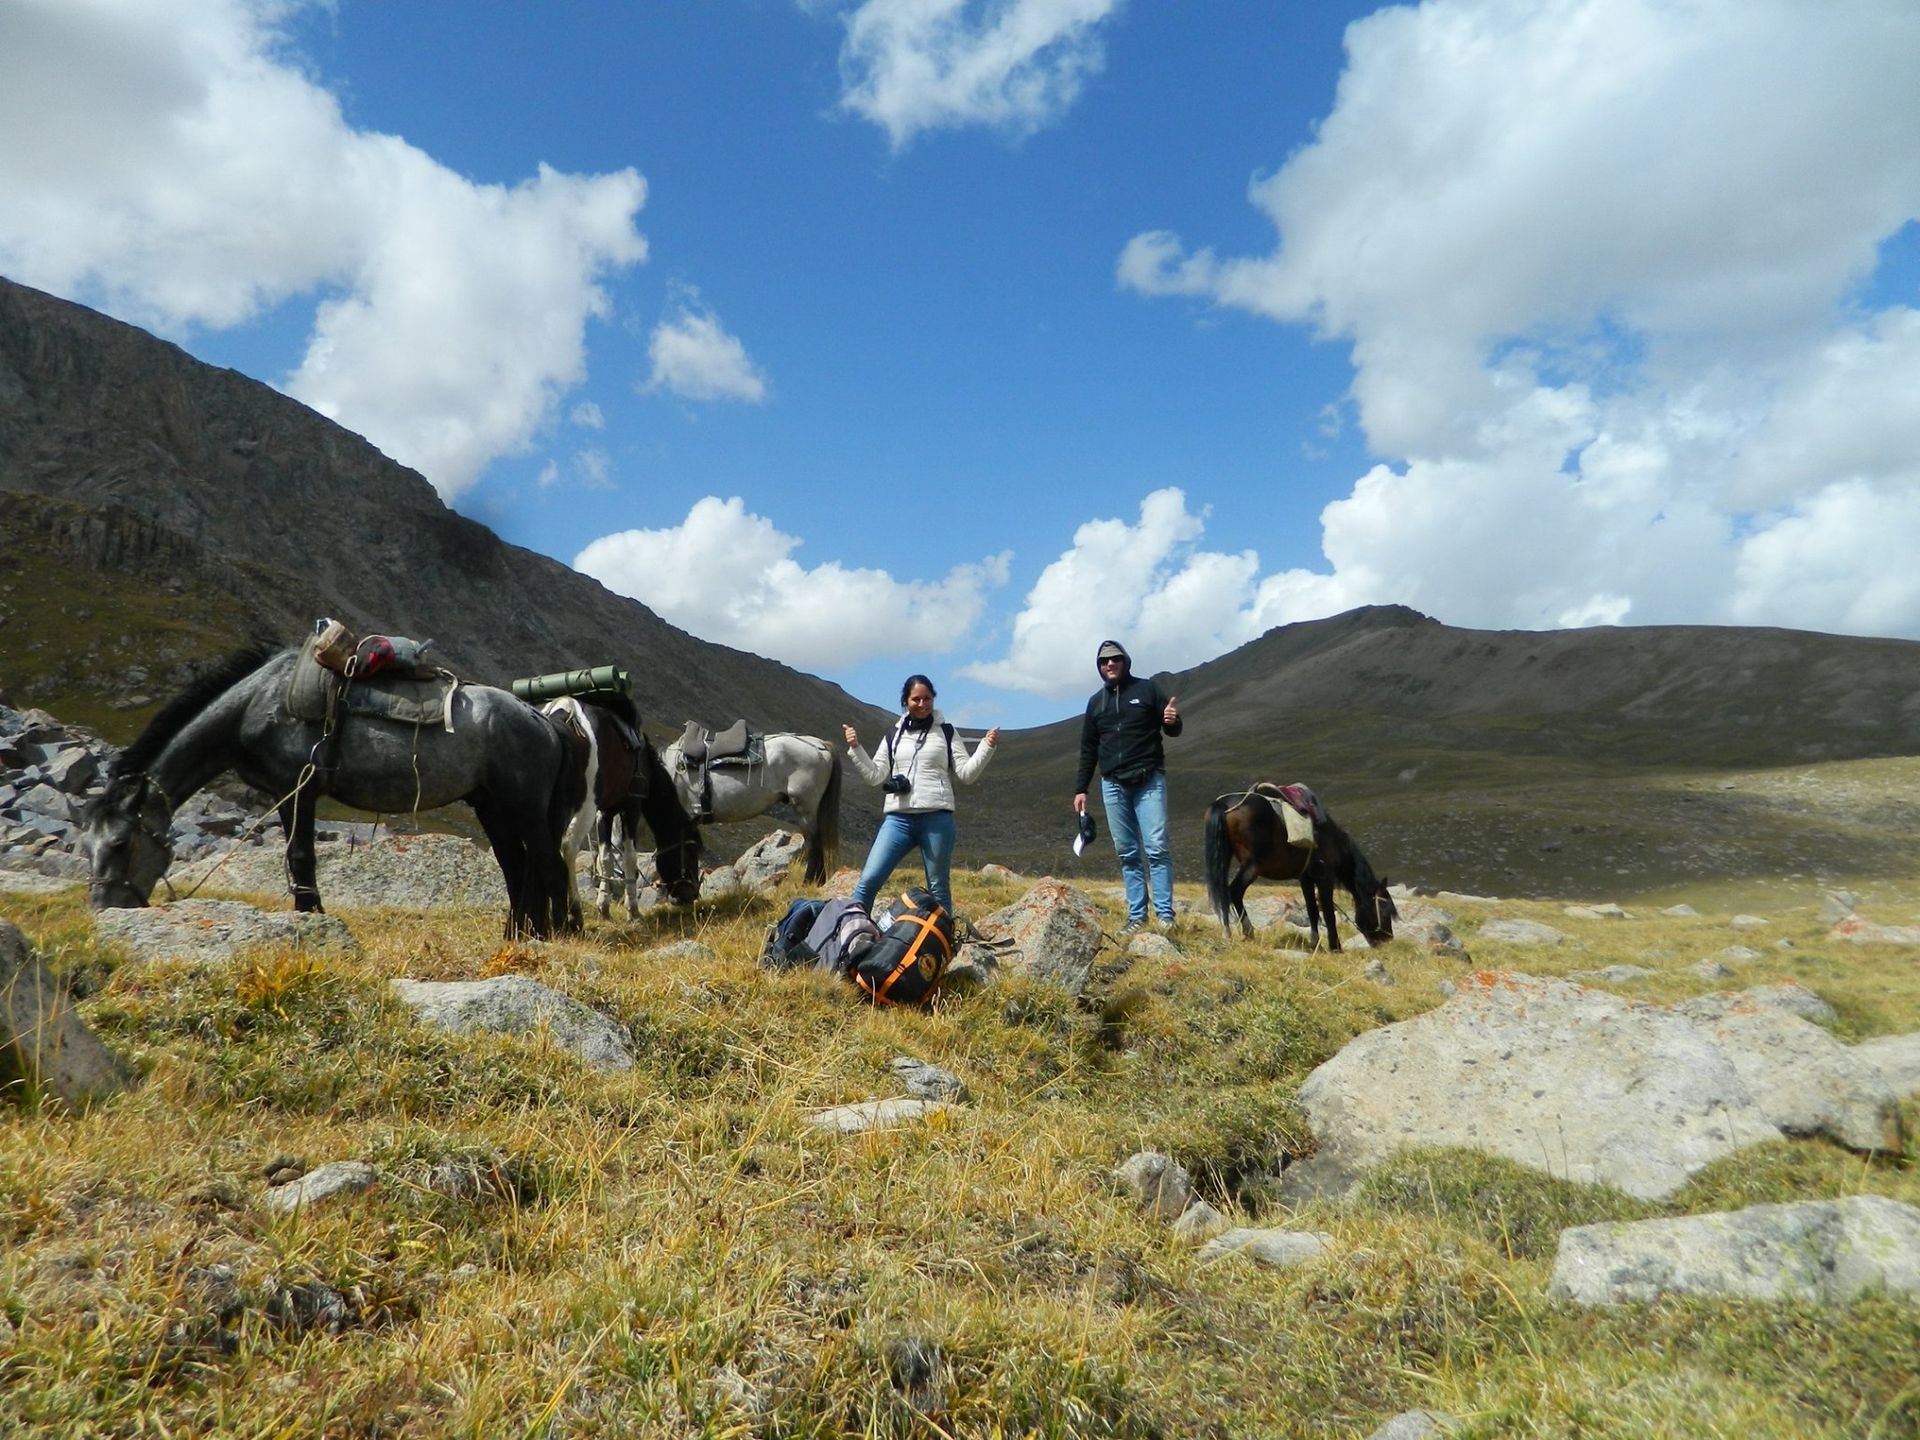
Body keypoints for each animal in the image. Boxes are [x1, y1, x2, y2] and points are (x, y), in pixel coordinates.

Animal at [82, 648, 587, 940]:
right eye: (88, 845)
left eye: (121, 843)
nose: (103, 911)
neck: (257, 704)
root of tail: (543, 720)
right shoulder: (286, 794)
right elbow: (295, 856)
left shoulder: (299, 789)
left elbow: (300, 855)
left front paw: (312, 916)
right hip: (492, 806)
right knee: (516, 865)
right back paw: (519, 934)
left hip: (525, 807)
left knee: (546, 862)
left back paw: (559, 932)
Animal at [1198, 783, 1397, 952]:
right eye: (1384, 910)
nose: (1387, 939)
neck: (1332, 840)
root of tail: (1224, 804)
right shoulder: (1325, 878)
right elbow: (1328, 913)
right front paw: (1335, 947)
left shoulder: (1306, 878)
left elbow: (1312, 910)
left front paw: (1315, 944)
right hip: (1252, 866)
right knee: (1234, 891)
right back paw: (1249, 932)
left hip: (1224, 857)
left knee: (1222, 894)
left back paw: (1228, 932)